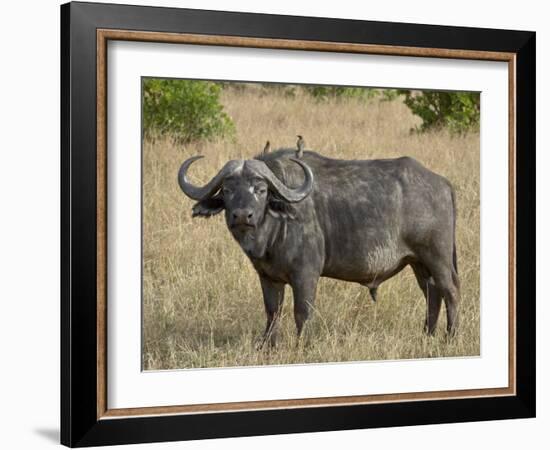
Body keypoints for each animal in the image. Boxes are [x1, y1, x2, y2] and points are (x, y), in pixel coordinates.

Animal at [178, 149, 462, 346]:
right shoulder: (268, 277)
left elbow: (301, 313)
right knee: (432, 294)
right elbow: (272, 312)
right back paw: (428, 335)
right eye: (227, 190)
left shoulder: (306, 275)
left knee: (450, 292)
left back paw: (450, 338)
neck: (273, 232)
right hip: (418, 263)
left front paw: (301, 346)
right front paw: (267, 346)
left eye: (260, 190)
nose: (241, 216)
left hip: (437, 258)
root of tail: (442, 184)